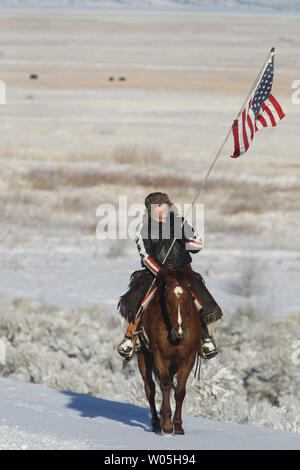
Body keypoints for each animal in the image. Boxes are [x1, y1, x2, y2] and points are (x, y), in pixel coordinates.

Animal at [138, 262, 202, 436]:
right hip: (144, 358)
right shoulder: (160, 356)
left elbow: (180, 391)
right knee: (151, 389)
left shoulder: (188, 359)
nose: (179, 330)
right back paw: (156, 423)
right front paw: (167, 425)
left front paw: (178, 426)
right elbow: (165, 385)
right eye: (166, 297)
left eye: (189, 297)